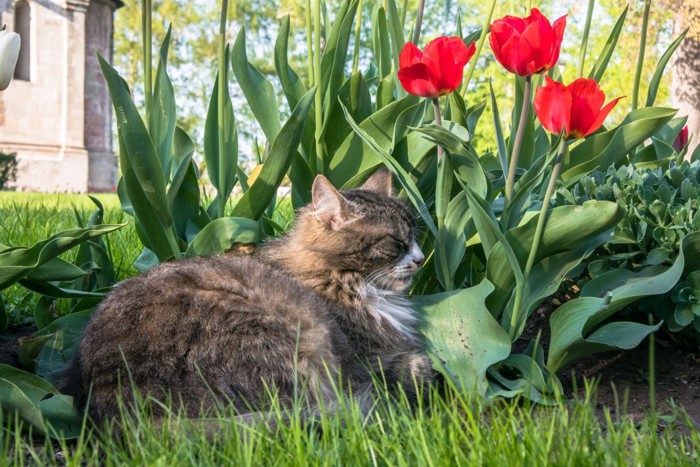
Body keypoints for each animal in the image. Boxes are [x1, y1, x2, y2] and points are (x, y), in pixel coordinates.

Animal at [58, 169, 432, 428]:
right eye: (396, 242)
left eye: (415, 236)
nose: (421, 258)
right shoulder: (363, 360)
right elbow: (411, 364)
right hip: (298, 335)